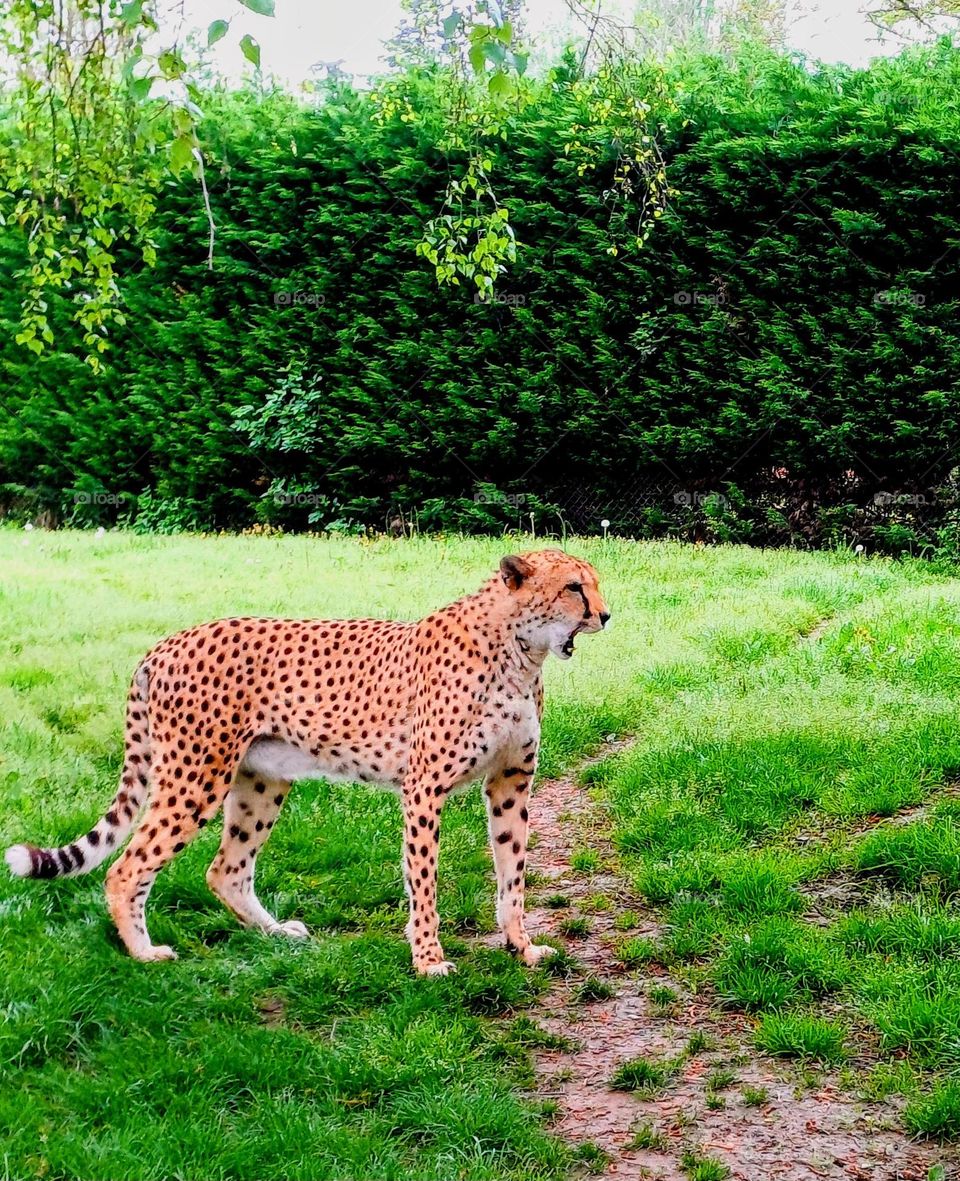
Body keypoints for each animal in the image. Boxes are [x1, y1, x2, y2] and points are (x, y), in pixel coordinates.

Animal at [6, 549, 609, 975]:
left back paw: (274, 933)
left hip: (260, 780)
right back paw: (144, 954)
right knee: (127, 866)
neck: (519, 651)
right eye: (573, 586)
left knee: (225, 869)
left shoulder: (511, 781)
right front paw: (428, 960)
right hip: (195, 775)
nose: (606, 614)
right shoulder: (424, 788)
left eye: (595, 582)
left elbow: (512, 874)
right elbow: (424, 881)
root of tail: (167, 642)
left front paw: (520, 947)